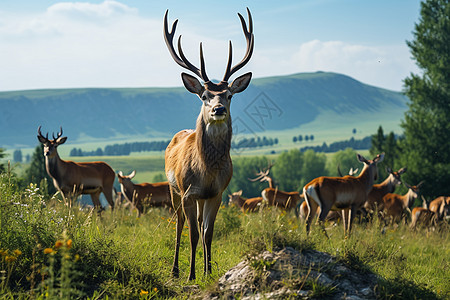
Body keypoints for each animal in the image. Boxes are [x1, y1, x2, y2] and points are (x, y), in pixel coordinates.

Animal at [163, 8, 255, 282]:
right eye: (204, 96)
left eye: (229, 95)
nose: (218, 109)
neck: (206, 171)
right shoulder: (188, 192)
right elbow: (193, 234)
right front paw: (192, 275)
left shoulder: (217, 193)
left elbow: (208, 234)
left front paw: (209, 272)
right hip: (173, 190)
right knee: (179, 225)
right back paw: (175, 270)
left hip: (200, 198)